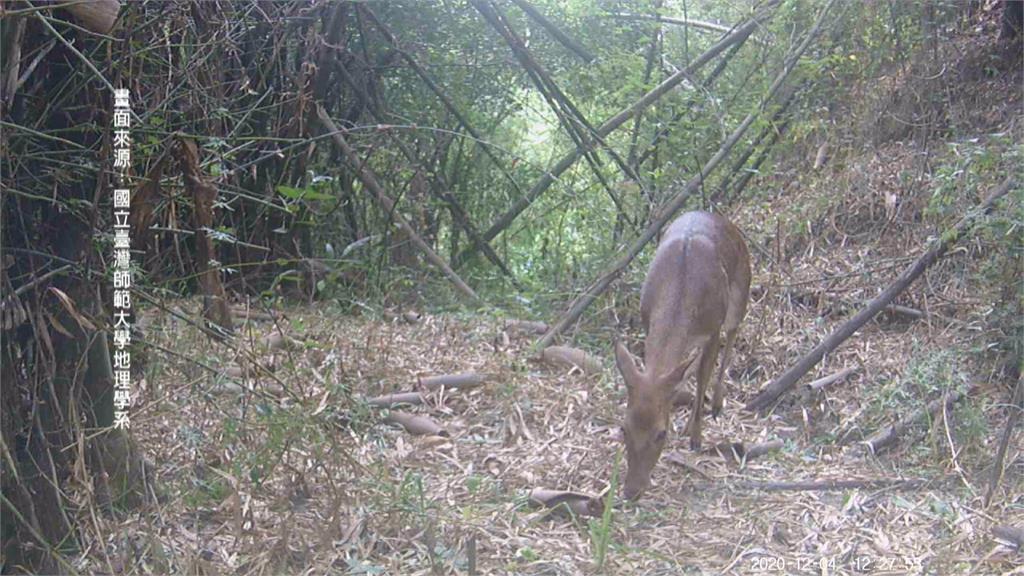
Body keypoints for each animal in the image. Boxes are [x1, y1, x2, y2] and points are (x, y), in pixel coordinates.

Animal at [614, 210, 753, 498]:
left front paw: (696, 437)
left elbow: (703, 375)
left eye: (661, 433)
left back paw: (717, 403)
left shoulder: (713, 328)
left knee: (732, 336)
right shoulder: (647, 322)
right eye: (624, 427)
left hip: (742, 289)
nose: (632, 491)